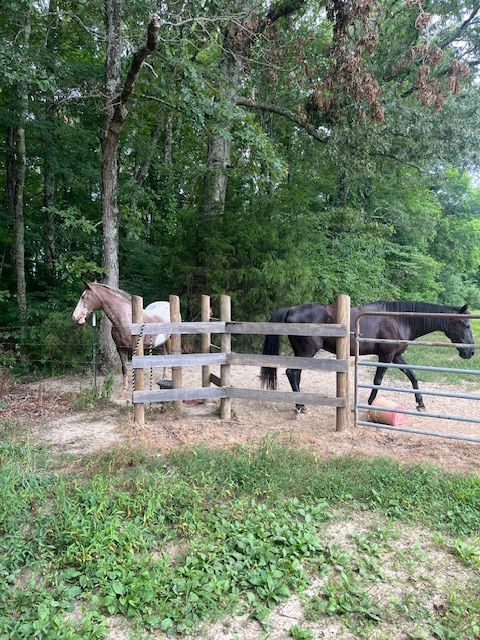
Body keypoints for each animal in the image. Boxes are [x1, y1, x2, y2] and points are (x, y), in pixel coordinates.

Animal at [260, 300, 475, 415]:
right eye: (466, 325)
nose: (471, 352)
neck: (399, 319)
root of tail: (291, 309)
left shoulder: (396, 356)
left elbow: (412, 376)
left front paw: (420, 404)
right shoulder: (386, 356)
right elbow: (378, 380)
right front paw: (371, 403)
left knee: (295, 374)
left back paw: (300, 404)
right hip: (307, 352)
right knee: (292, 373)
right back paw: (300, 405)